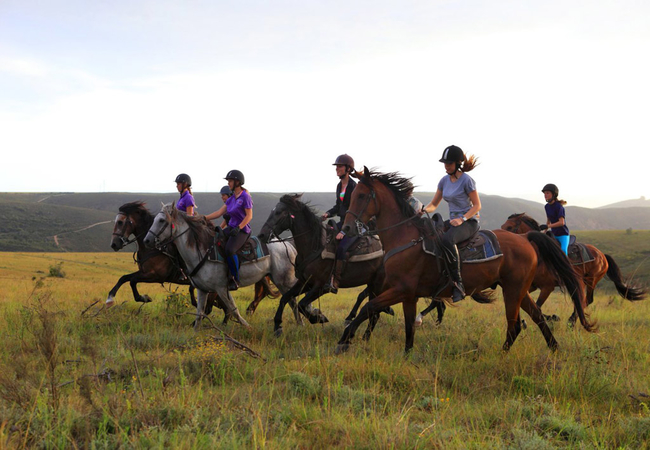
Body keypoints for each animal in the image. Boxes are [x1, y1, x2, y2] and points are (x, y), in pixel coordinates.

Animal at [108, 201, 279, 322]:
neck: (156, 248)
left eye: (121, 222)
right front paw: (111, 298)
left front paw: (142, 298)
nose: (114, 244)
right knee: (227, 307)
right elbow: (124, 278)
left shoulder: (155, 275)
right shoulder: (145, 273)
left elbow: (131, 281)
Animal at [143, 203, 301, 330]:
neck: (203, 252)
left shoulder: (221, 288)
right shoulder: (202, 289)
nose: (147, 240)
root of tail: (288, 245)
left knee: (293, 300)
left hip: (284, 281)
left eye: (162, 220)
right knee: (291, 301)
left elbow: (233, 310)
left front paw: (248, 328)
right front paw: (195, 334)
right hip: (276, 280)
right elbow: (199, 314)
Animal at [257, 194, 393, 337]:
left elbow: (301, 304)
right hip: (373, 284)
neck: (315, 246)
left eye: (278, 212)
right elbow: (285, 298)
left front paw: (318, 317)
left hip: (377, 285)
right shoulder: (305, 282)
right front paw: (277, 326)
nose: (262, 234)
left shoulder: (321, 287)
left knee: (373, 313)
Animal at [336, 167, 595, 354]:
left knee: (514, 325)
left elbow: (368, 307)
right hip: (519, 290)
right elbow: (408, 327)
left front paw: (344, 340)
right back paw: (553, 348)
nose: (346, 228)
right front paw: (406, 354)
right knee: (536, 317)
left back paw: (501, 356)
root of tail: (525, 238)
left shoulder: (401, 289)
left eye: (361, 195)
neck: (406, 237)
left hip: (513, 291)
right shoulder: (408, 294)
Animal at [501, 213, 646, 323]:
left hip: (591, 280)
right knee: (582, 300)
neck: (540, 252)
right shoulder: (533, 285)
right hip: (581, 281)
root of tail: (602, 255)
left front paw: (553, 317)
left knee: (587, 300)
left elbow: (538, 306)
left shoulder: (547, 287)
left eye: (510, 226)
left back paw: (571, 320)